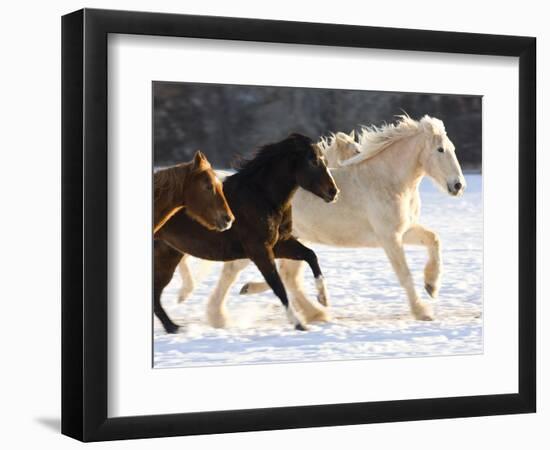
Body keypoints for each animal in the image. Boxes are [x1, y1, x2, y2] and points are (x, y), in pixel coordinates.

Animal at [153, 132, 338, 332]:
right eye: (313, 161)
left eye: (324, 160)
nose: (333, 192)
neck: (262, 197)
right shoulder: (259, 250)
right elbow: (278, 285)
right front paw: (298, 322)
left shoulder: (279, 243)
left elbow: (310, 255)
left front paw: (323, 298)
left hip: (168, 256)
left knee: (156, 293)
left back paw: (173, 327)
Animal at [177, 115, 466, 326]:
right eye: (440, 149)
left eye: (452, 149)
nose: (458, 186)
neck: (387, 181)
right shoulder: (389, 237)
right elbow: (404, 274)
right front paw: (422, 311)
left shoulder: (403, 231)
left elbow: (434, 239)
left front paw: (432, 286)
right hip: (261, 243)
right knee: (235, 272)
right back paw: (219, 317)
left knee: (288, 277)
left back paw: (314, 312)